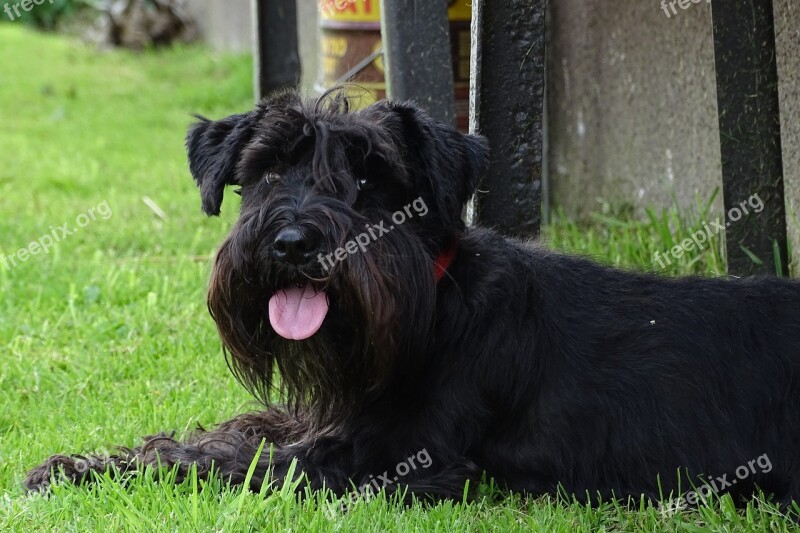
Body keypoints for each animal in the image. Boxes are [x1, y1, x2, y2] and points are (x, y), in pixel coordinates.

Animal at [25, 89, 800, 510]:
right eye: (268, 170)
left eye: (371, 181)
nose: (294, 243)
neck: (436, 304)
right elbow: (221, 436)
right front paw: (82, 465)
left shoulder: (402, 460)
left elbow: (237, 463)